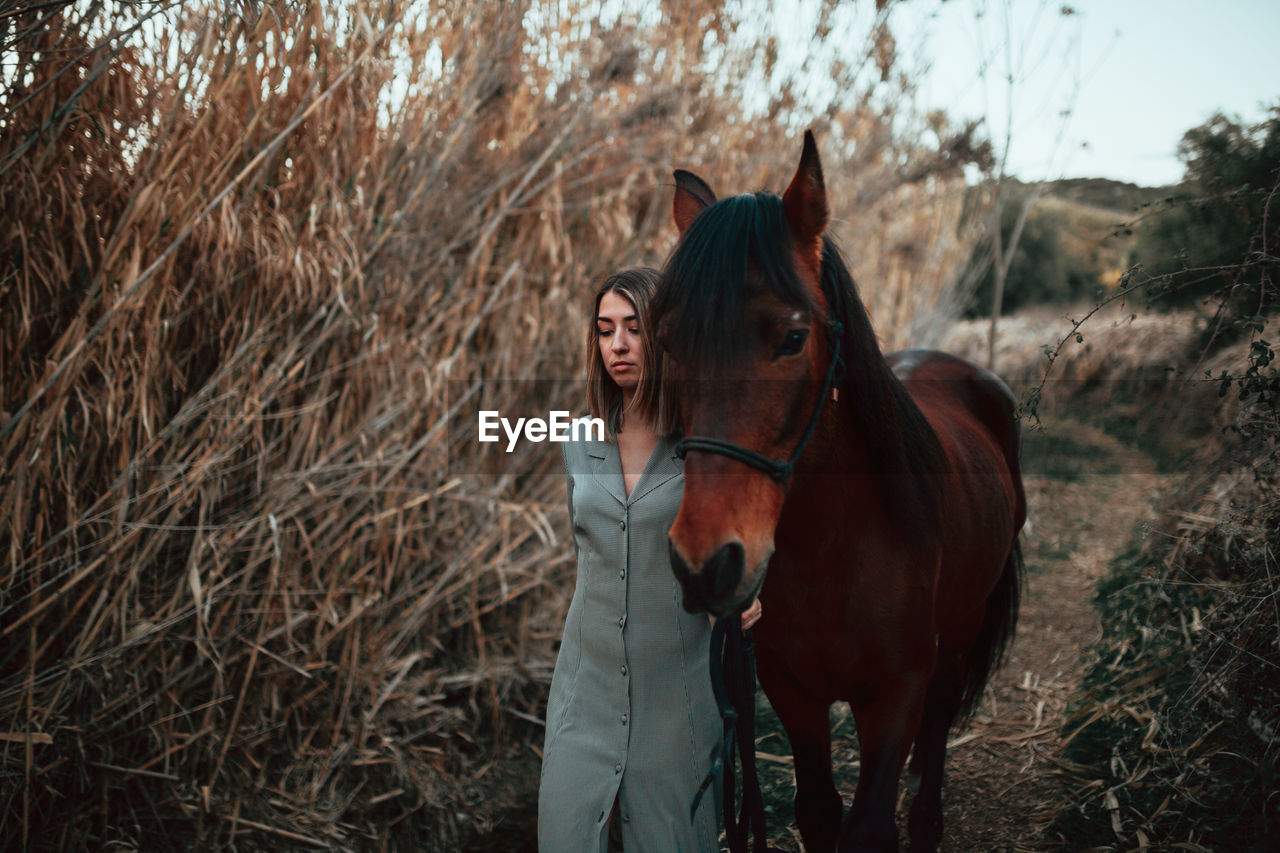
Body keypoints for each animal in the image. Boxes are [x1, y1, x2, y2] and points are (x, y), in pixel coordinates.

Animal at [655, 129, 1024, 845]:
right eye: (669, 342)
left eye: (794, 337)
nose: (705, 564)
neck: (834, 551)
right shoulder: (792, 691)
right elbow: (820, 812)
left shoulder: (897, 693)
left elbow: (871, 822)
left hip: (962, 625)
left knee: (942, 716)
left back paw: (929, 821)